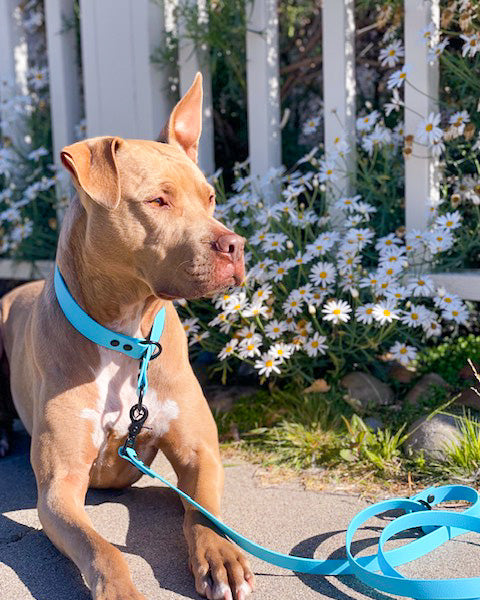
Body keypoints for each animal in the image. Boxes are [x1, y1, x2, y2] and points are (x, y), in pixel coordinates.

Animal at [0, 74, 255, 600]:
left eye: (210, 198)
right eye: (159, 200)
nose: (235, 246)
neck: (125, 334)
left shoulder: (199, 452)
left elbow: (203, 513)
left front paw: (221, 556)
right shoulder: (58, 488)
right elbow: (103, 550)